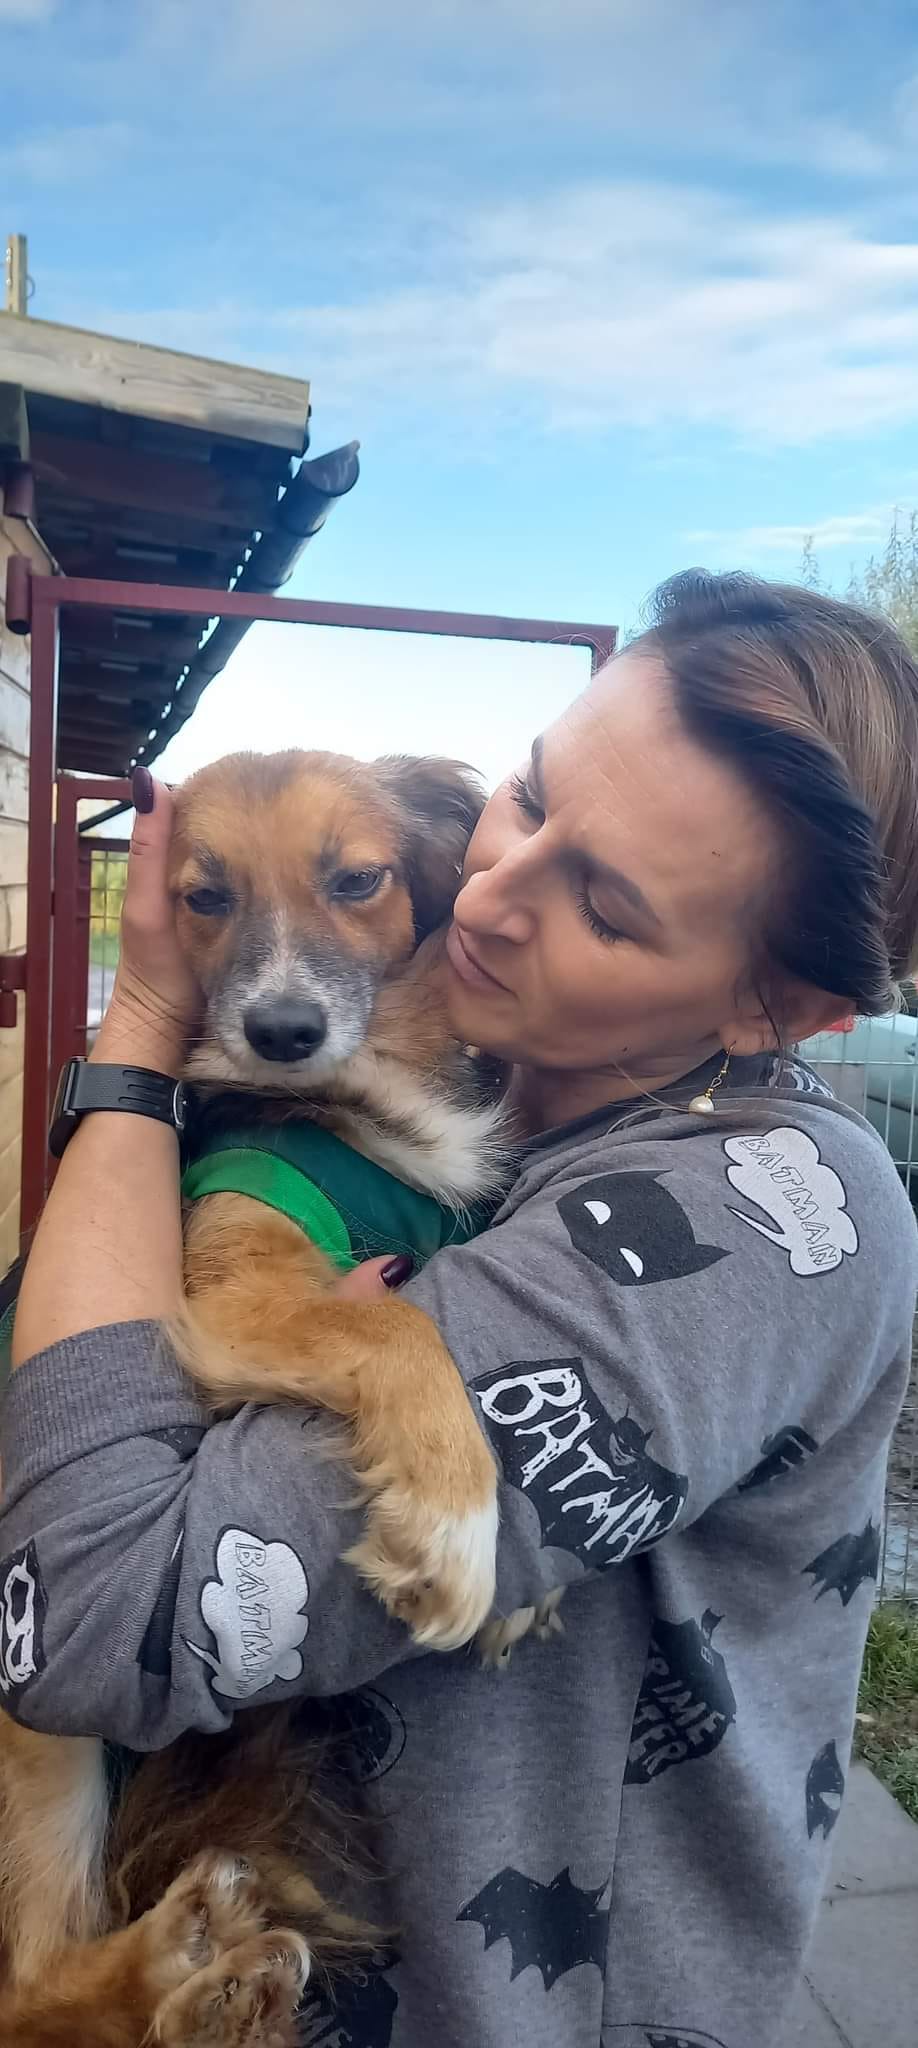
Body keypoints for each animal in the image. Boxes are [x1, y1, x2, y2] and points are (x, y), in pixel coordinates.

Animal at [0, 748, 520, 2046]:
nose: (282, 1030)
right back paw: (188, 1954)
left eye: (356, 879)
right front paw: (455, 1530)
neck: (359, 1089)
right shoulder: (232, 1293)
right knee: (27, 1981)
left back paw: (218, 1975)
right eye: (204, 895)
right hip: (37, 1718)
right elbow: (395, 1323)